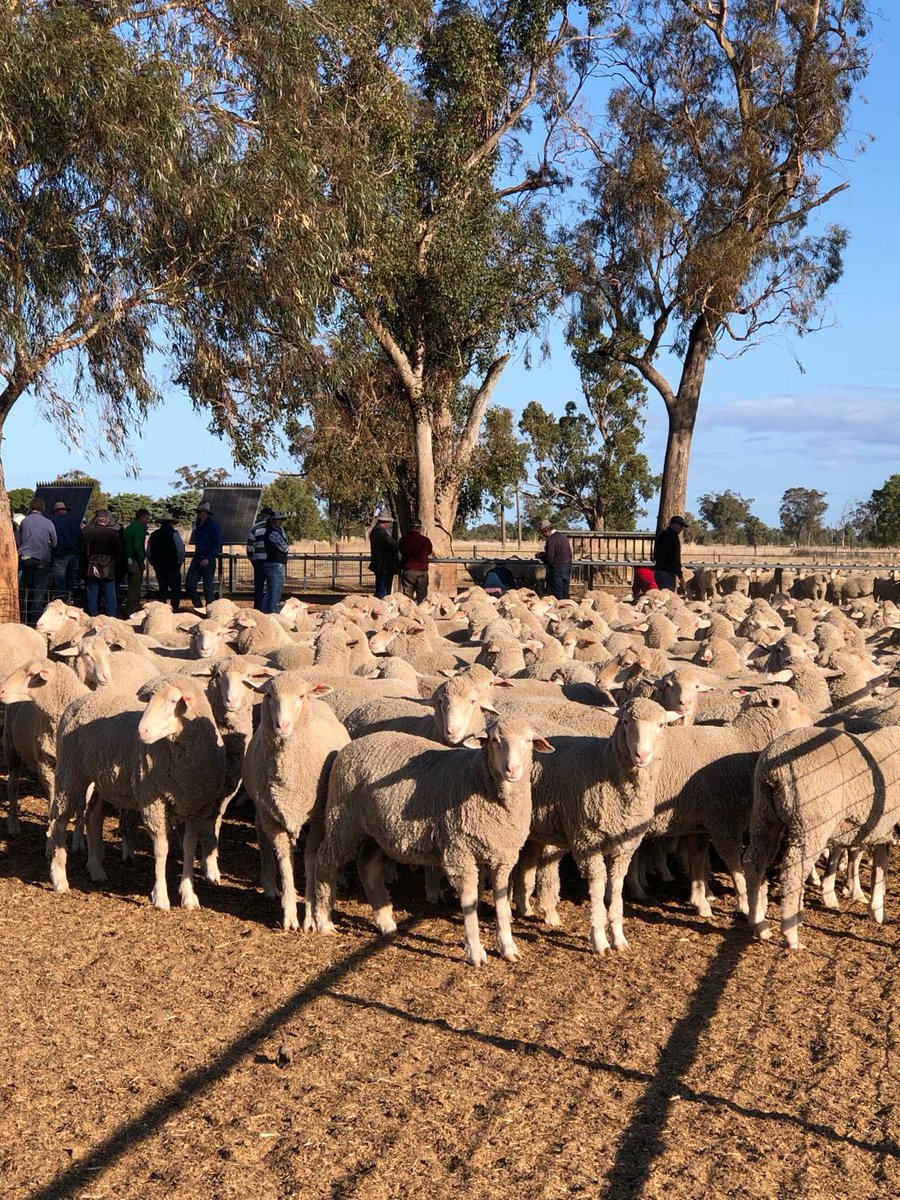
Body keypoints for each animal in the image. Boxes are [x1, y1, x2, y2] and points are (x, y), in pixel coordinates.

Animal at [48, 674, 227, 908]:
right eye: (148, 700)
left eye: (173, 701)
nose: (141, 732)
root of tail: (80, 700)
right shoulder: (153, 800)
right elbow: (161, 849)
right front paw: (160, 897)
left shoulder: (193, 806)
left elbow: (188, 847)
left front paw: (188, 896)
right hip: (70, 770)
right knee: (59, 820)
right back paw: (59, 878)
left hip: (104, 781)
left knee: (93, 816)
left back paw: (96, 869)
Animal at [242, 672, 350, 931]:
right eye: (269, 695)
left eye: (301, 696)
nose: (282, 726)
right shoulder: (272, 818)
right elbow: (285, 863)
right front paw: (290, 916)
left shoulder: (318, 818)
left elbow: (310, 861)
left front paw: (310, 916)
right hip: (263, 809)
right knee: (262, 838)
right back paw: (270, 885)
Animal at [314, 718, 553, 965]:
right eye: (495, 740)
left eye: (528, 741)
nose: (512, 770)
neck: (478, 780)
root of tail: (353, 743)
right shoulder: (459, 851)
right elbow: (469, 901)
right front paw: (475, 951)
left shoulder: (504, 855)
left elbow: (501, 900)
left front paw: (507, 947)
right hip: (344, 820)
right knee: (325, 861)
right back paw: (323, 919)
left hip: (378, 831)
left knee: (367, 866)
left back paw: (386, 922)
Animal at [514, 699, 679, 952]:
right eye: (625, 721)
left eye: (661, 725)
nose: (641, 754)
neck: (603, 765)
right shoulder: (587, 840)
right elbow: (599, 887)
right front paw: (599, 939)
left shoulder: (624, 846)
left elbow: (617, 887)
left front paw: (619, 938)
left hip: (537, 827)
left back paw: (527, 908)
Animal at [745, 724, 900, 948]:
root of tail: (773, 768)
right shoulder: (885, 825)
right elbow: (879, 867)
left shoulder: (879, 826)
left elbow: (874, 865)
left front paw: (875, 909)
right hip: (811, 823)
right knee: (792, 871)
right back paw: (791, 935)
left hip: (764, 813)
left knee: (753, 861)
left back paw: (760, 925)